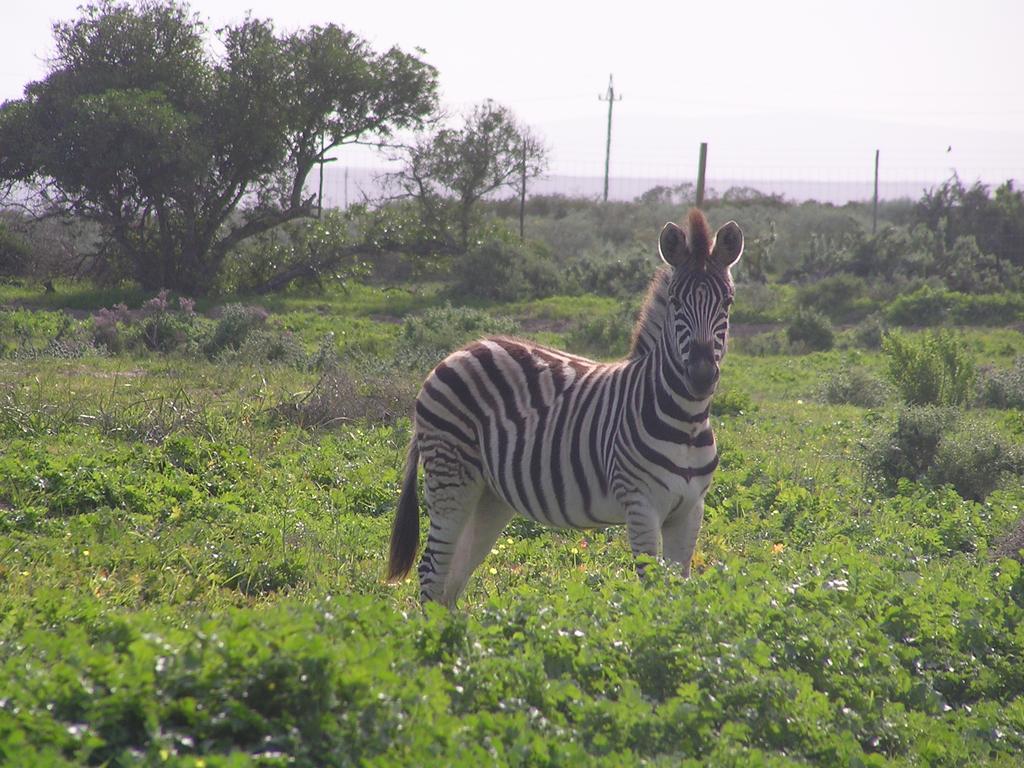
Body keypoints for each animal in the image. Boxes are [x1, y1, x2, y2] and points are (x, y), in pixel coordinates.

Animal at [387, 208, 741, 606]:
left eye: (727, 302)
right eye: (676, 302)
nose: (701, 376)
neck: (687, 420)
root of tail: (457, 352)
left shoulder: (690, 509)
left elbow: (677, 590)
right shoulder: (641, 505)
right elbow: (651, 589)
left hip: (489, 495)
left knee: (452, 578)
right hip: (451, 477)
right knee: (432, 571)